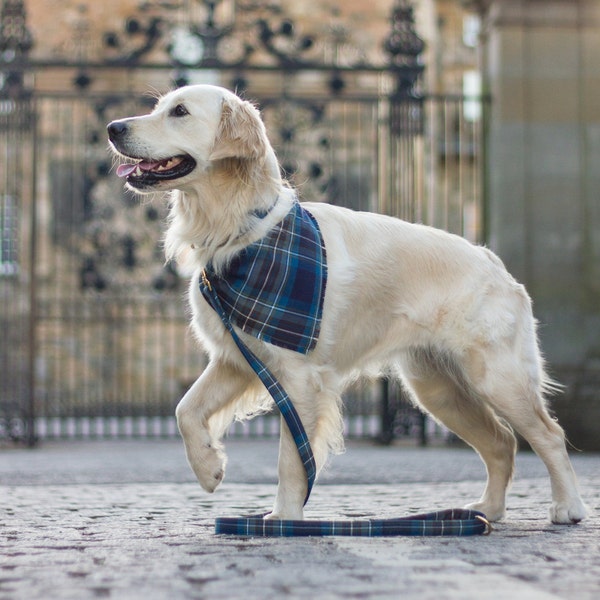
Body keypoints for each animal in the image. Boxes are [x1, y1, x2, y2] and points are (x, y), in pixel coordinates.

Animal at [108, 82, 584, 524]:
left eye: (180, 111)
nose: (114, 128)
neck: (240, 232)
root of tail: (494, 263)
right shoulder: (236, 357)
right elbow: (185, 409)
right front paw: (209, 468)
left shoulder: (298, 378)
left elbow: (292, 459)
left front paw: (284, 520)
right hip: (438, 388)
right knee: (502, 443)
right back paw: (488, 509)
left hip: (496, 376)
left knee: (548, 435)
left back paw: (568, 506)